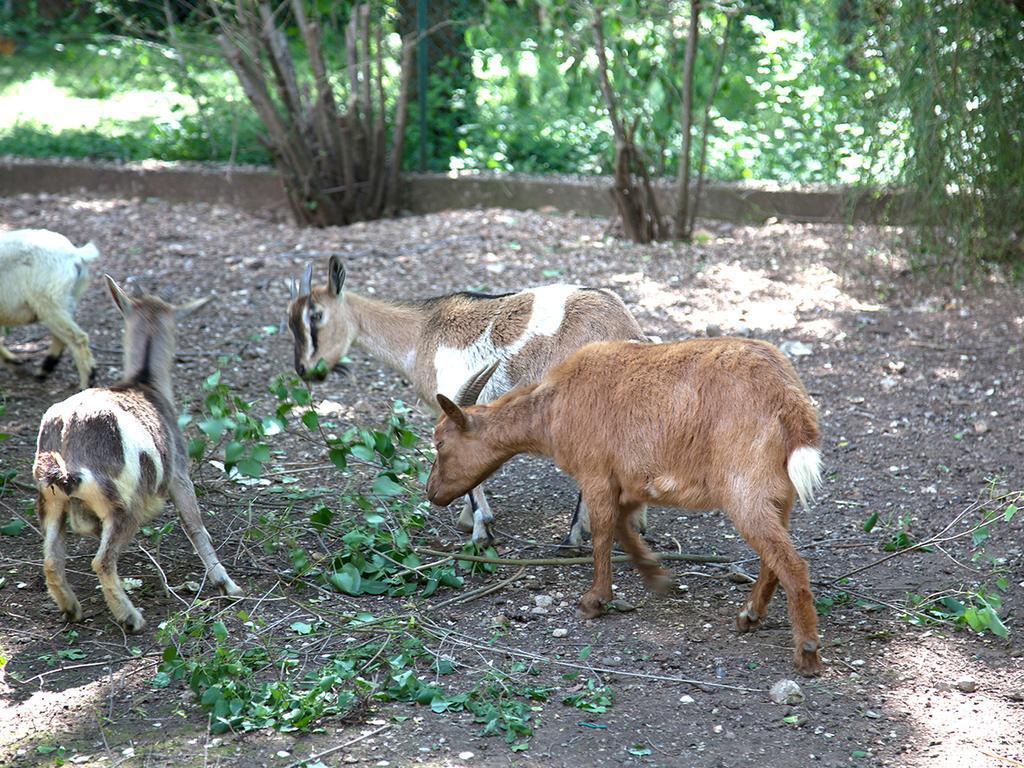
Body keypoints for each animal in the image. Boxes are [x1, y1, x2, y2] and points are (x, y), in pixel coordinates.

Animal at [0, 225, 99, 387]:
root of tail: (75, 254)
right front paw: (14, 362)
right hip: (66, 300)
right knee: (62, 338)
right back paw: (44, 369)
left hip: (49, 302)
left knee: (78, 339)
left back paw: (85, 384)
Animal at [33, 276, 241, 630]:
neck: (144, 382)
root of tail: (67, 436)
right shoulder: (179, 472)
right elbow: (194, 523)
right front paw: (226, 583)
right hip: (125, 504)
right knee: (102, 560)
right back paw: (130, 617)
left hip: (50, 500)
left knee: (51, 557)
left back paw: (71, 609)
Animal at [284, 257, 643, 548]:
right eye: (290, 321)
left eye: (315, 316)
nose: (304, 370)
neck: (420, 335)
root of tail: (625, 329)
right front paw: (472, 520)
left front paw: (480, 530)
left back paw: (574, 536)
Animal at [428, 339, 827, 675]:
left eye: (440, 442)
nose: (432, 493)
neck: (553, 406)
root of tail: (789, 404)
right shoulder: (631, 481)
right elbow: (622, 526)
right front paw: (657, 577)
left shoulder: (596, 474)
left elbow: (603, 532)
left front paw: (594, 601)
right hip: (780, 494)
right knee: (773, 557)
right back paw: (749, 616)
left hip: (745, 489)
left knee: (792, 562)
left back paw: (806, 653)